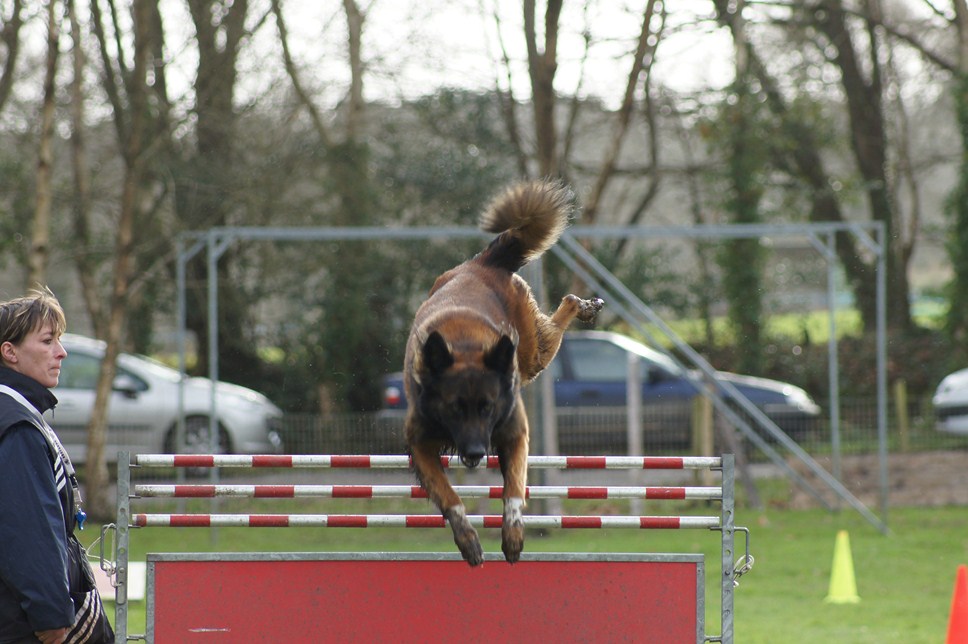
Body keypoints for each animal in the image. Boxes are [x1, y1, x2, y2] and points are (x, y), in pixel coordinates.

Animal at [402, 179, 600, 568]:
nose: (476, 452)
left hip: (531, 356)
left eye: (489, 407)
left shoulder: (514, 432)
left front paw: (513, 533)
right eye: (453, 408)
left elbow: (513, 489)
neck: (464, 347)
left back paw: (584, 306)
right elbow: (449, 498)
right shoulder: (420, 442)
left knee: (565, 307)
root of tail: (481, 264)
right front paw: (467, 538)